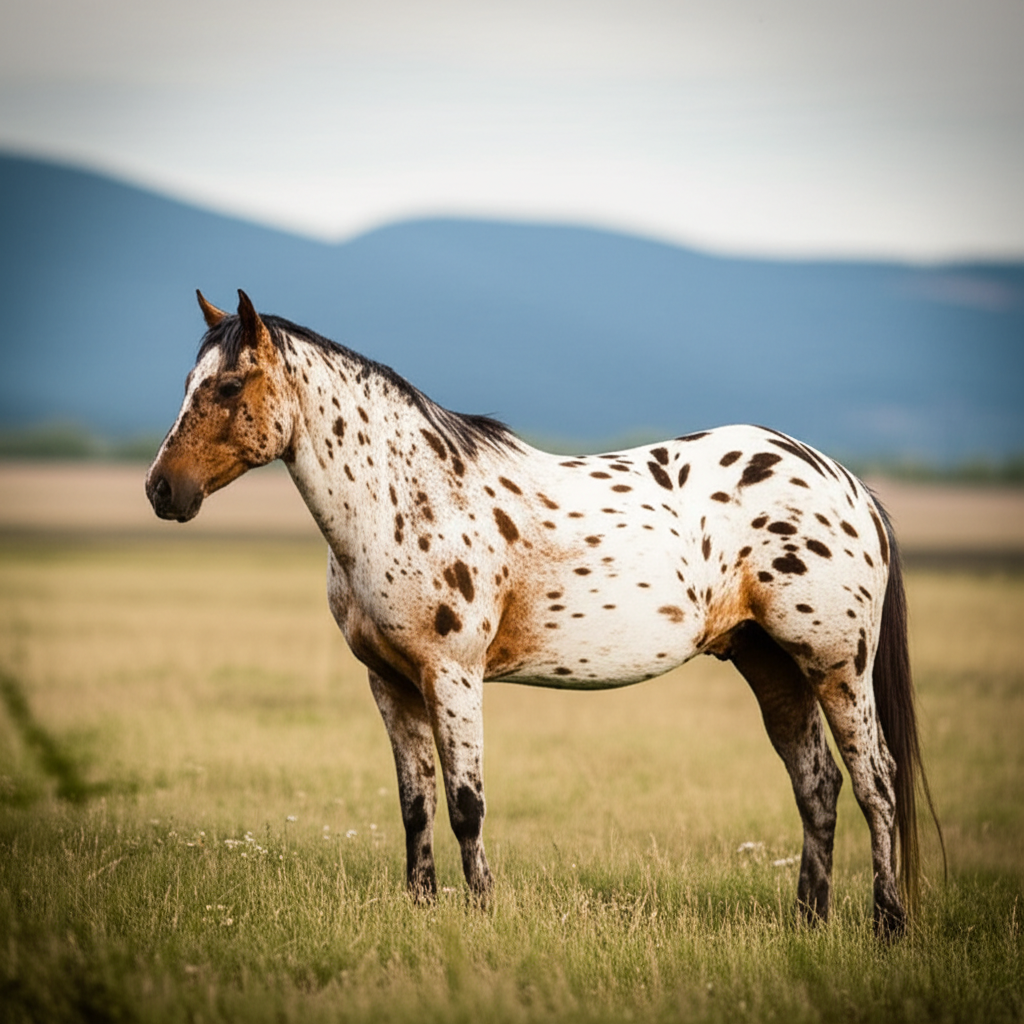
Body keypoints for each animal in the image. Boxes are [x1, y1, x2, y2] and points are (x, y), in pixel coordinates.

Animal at [146, 289, 941, 936]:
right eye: (187, 383)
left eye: (226, 384)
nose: (162, 490)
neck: (406, 499)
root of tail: (848, 484)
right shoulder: (391, 682)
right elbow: (415, 806)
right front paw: (422, 911)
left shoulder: (452, 675)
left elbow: (466, 804)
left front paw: (483, 915)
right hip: (768, 662)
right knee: (818, 785)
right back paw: (807, 923)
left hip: (836, 665)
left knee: (875, 784)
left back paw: (887, 927)